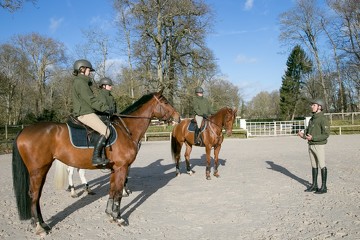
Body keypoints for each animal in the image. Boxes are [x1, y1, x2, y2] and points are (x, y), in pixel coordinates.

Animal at [11, 88, 180, 236]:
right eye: (165, 102)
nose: (178, 117)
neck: (126, 130)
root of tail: (24, 130)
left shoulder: (115, 169)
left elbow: (112, 190)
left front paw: (109, 214)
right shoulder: (122, 168)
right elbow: (118, 193)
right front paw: (118, 218)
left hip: (43, 169)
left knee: (37, 195)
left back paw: (43, 223)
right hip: (38, 169)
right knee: (34, 194)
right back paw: (39, 227)